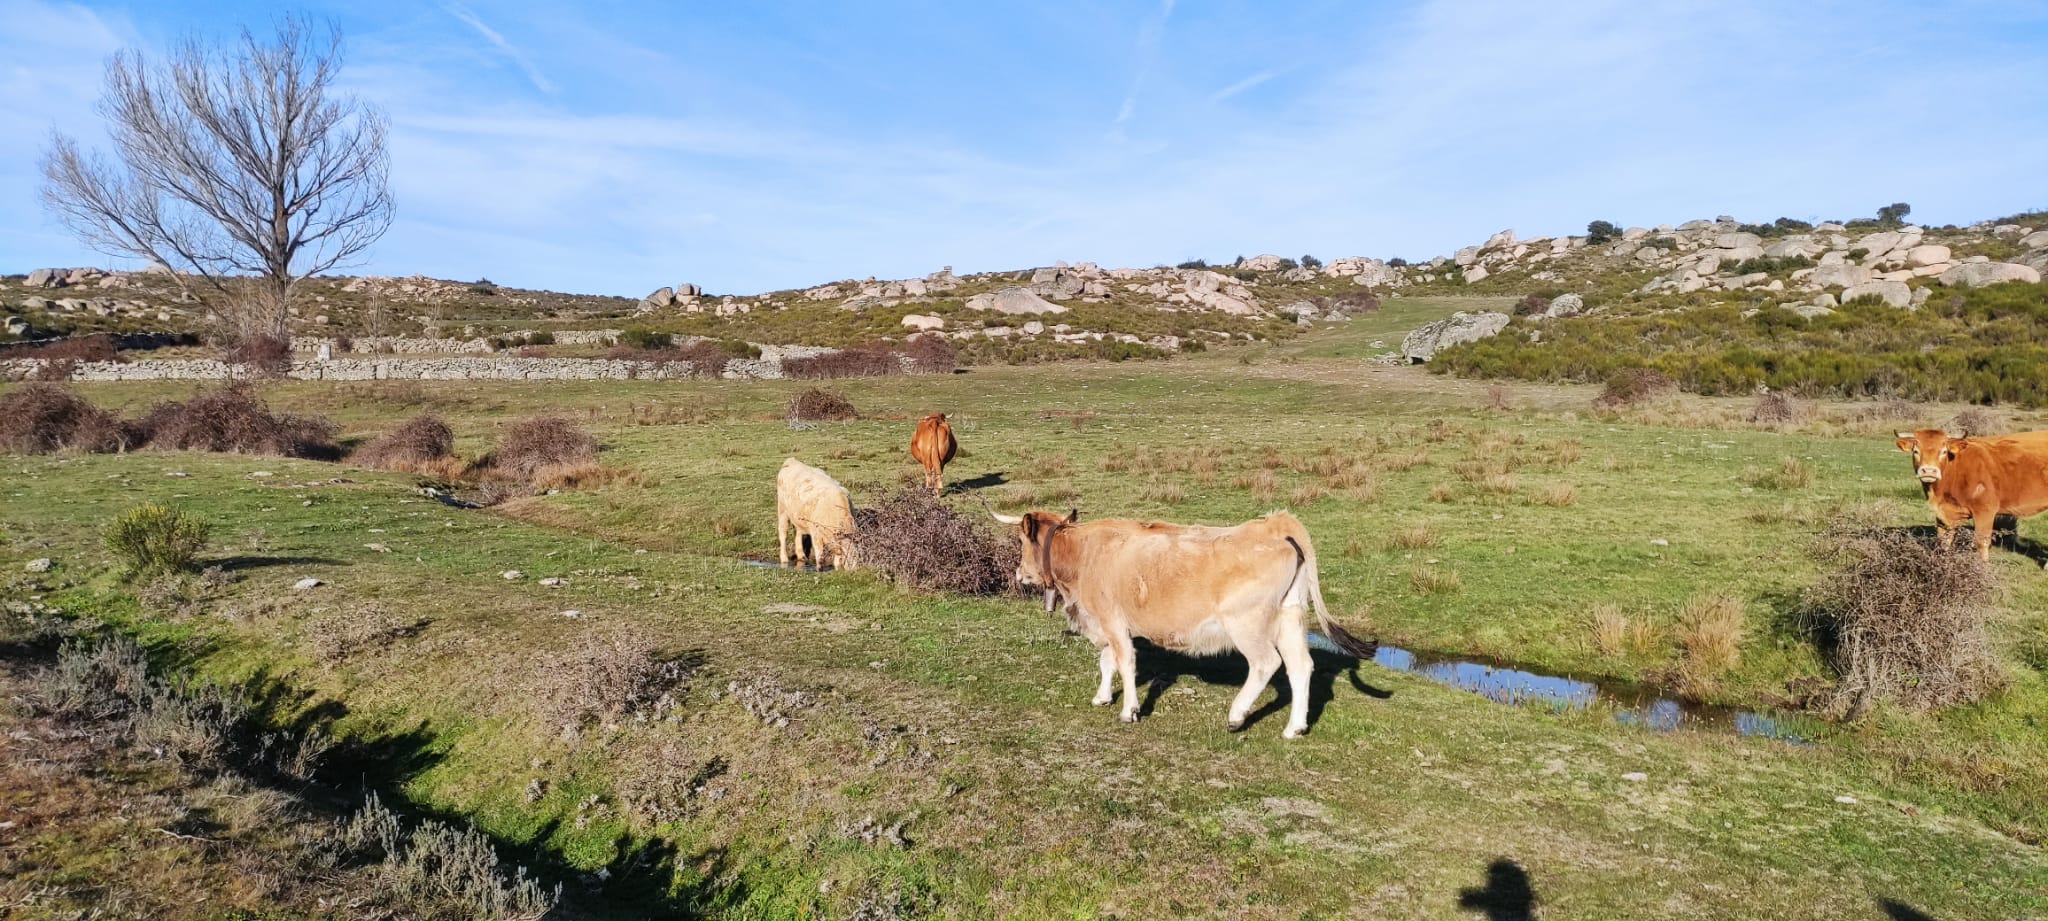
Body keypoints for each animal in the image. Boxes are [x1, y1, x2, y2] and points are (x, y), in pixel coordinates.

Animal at [987, 507, 1376, 736]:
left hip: (1248, 625)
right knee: (1300, 667)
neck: (1083, 553)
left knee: (1267, 664)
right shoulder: (1110, 624)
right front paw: (1103, 697)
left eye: (1020, 540)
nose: (1019, 574)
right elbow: (1107, 661)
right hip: (1290, 616)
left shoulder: (1112, 620)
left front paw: (1128, 710)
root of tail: (1274, 526)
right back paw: (1295, 727)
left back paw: (1236, 716)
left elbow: (1124, 662)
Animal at [1892, 425, 2048, 560]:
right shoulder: (1943, 514)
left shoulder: (1985, 511)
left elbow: (1981, 543)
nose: (1929, 471)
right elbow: (1943, 541)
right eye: (1916, 451)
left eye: (1944, 451)